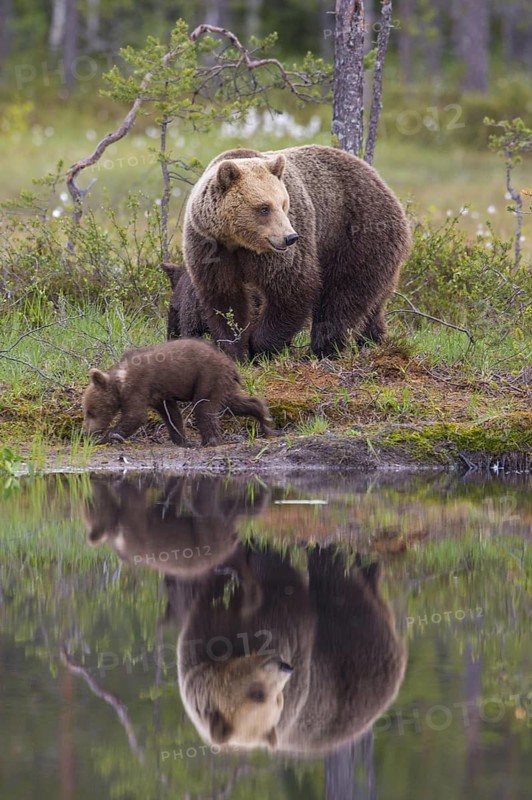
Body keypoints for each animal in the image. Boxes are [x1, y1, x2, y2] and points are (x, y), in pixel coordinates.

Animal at [81, 338, 274, 446]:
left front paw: (109, 437)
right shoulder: (159, 395)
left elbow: (135, 416)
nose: (87, 433)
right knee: (233, 403)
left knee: (204, 407)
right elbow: (171, 415)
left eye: (90, 411)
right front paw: (182, 440)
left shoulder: (139, 387)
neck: (120, 381)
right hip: (222, 383)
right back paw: (265, 420)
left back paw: (210, 441)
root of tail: (232, 365)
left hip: (208, 376)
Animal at [180, 144, 411, 360]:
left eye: (284, 204)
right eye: (263, 208)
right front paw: (234, 349)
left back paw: (324, 349)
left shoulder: (277, 253)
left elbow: (292, 289)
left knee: (342, 295)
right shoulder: (210, 247)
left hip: (356, 234)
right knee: (373, 304)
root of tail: (381, 182)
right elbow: (224, 297)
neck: (238, 242)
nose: (290, 237)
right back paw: (373, 340)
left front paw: (259, 346)